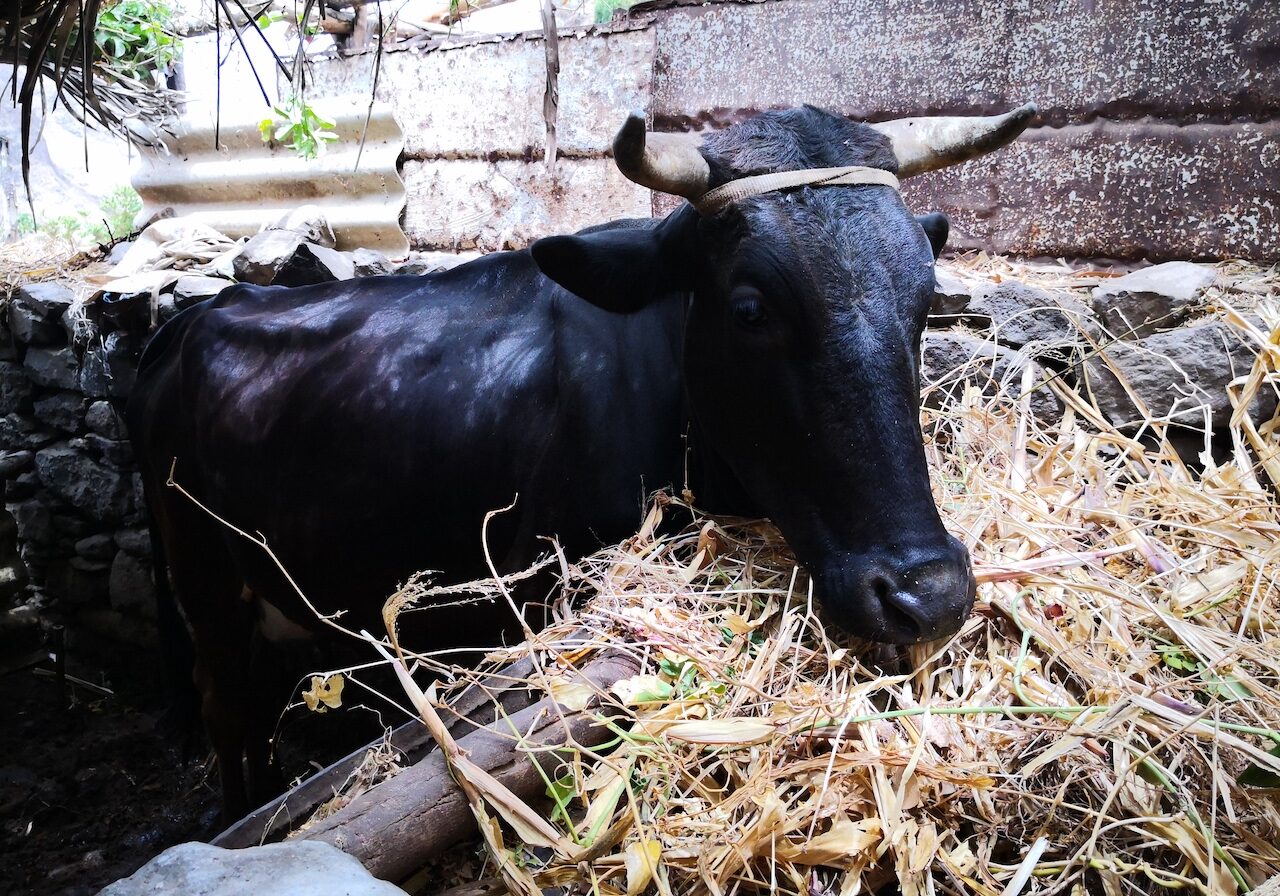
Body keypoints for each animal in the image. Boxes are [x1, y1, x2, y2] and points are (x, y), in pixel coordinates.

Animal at [128, 102, 1036, 819]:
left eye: (923, 300)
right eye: (750, 307)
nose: (929, 594)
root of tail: (197, 314)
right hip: (206, 584)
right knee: (226, 709)